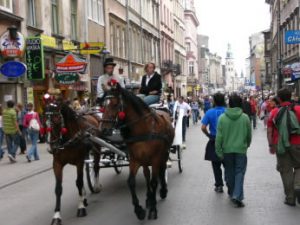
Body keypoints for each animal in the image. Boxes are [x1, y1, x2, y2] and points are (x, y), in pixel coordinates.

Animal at [102, 82, 175, 220]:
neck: (143, 129)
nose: (103, 129)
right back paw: (148, 198)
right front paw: (139, 210)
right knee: (147, 174)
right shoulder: (135, 159)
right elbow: (131, 182)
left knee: (162, 170)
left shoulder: (156, 159)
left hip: (164, 153)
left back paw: (162, 191)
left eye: (114, 104)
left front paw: (153, 209)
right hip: (144, 159)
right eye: (102, 105)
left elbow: (154, 182)